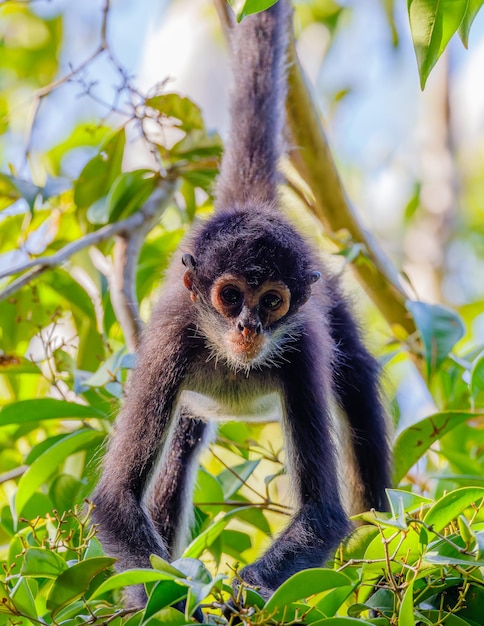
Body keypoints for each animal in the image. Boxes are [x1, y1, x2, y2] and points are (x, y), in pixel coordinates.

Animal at [92, 0, 392, 608]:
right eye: (230, 297)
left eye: (272, 302)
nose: (249, 326)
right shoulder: (172, 338)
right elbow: (116, 499)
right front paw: (172, 604)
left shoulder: (302, 348)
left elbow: (322, 516)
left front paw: (237, 599)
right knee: (181, 442)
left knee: (355, 379)